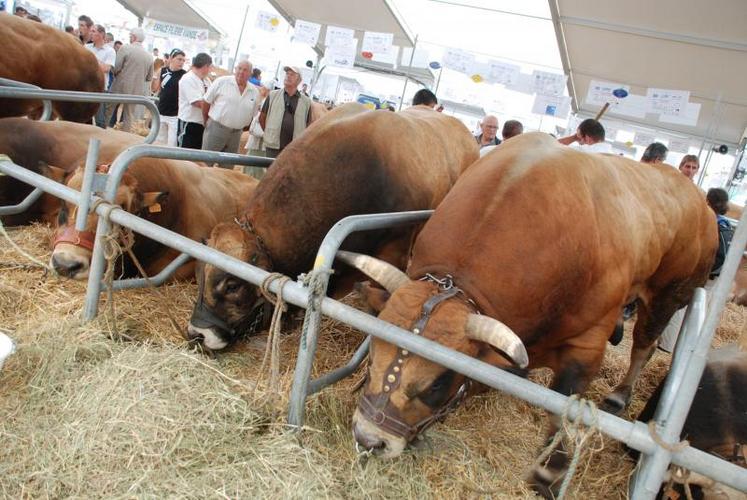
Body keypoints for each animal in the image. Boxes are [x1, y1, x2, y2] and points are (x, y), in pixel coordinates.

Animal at [340, 134, 720, 500]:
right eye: (373, 353)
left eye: (438, 382)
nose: (370, 438)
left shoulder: (586, 348)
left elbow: (563, 408)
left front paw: (550, 472)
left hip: (668, 296)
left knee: (644, 344)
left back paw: (620, 393)